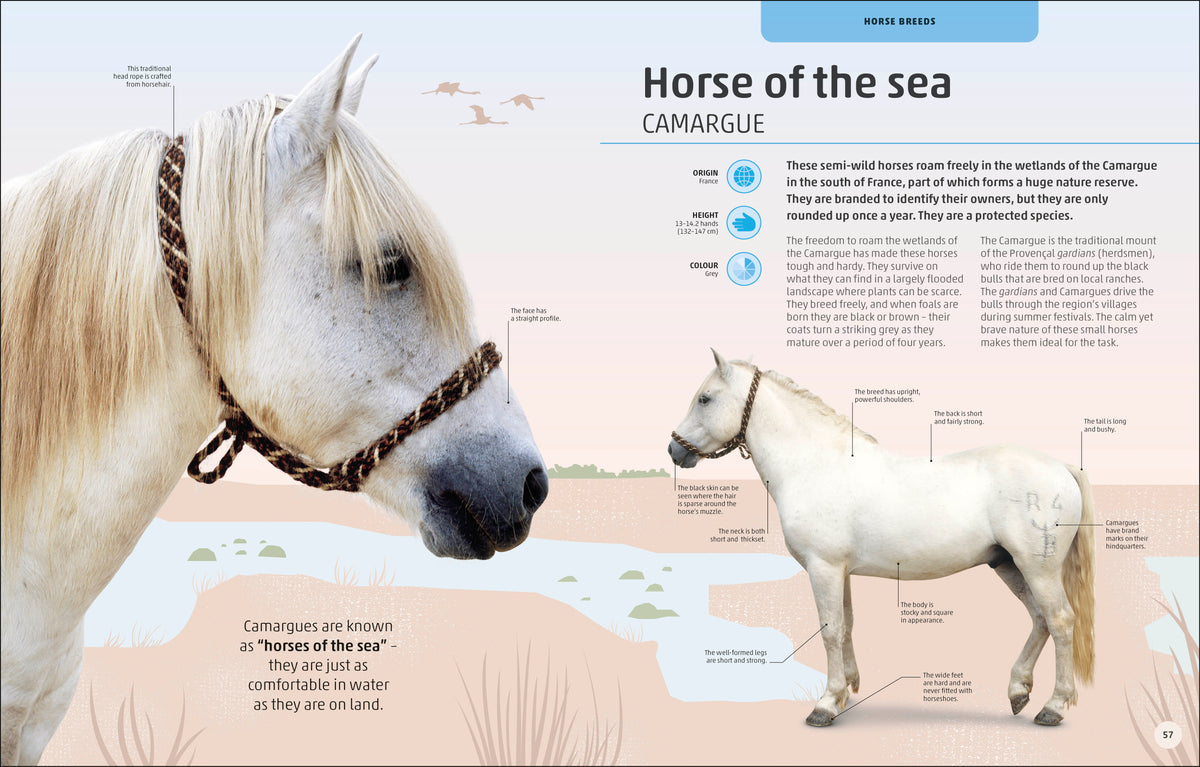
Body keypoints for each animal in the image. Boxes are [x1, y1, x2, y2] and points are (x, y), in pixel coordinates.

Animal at [668, 350, 1095, 728]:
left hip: (1038, 568)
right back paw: (1018, 691)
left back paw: (1052, 707)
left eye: (705, 398)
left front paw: (825, 704)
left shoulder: (823, 567)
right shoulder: (840, 571)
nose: (674, 449)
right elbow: (846, 626)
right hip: (1007, 564)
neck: (814, 465)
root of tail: (1061, 467)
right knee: (1040, 619)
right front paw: (847, 689)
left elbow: (830, 630)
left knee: (1060, 621)